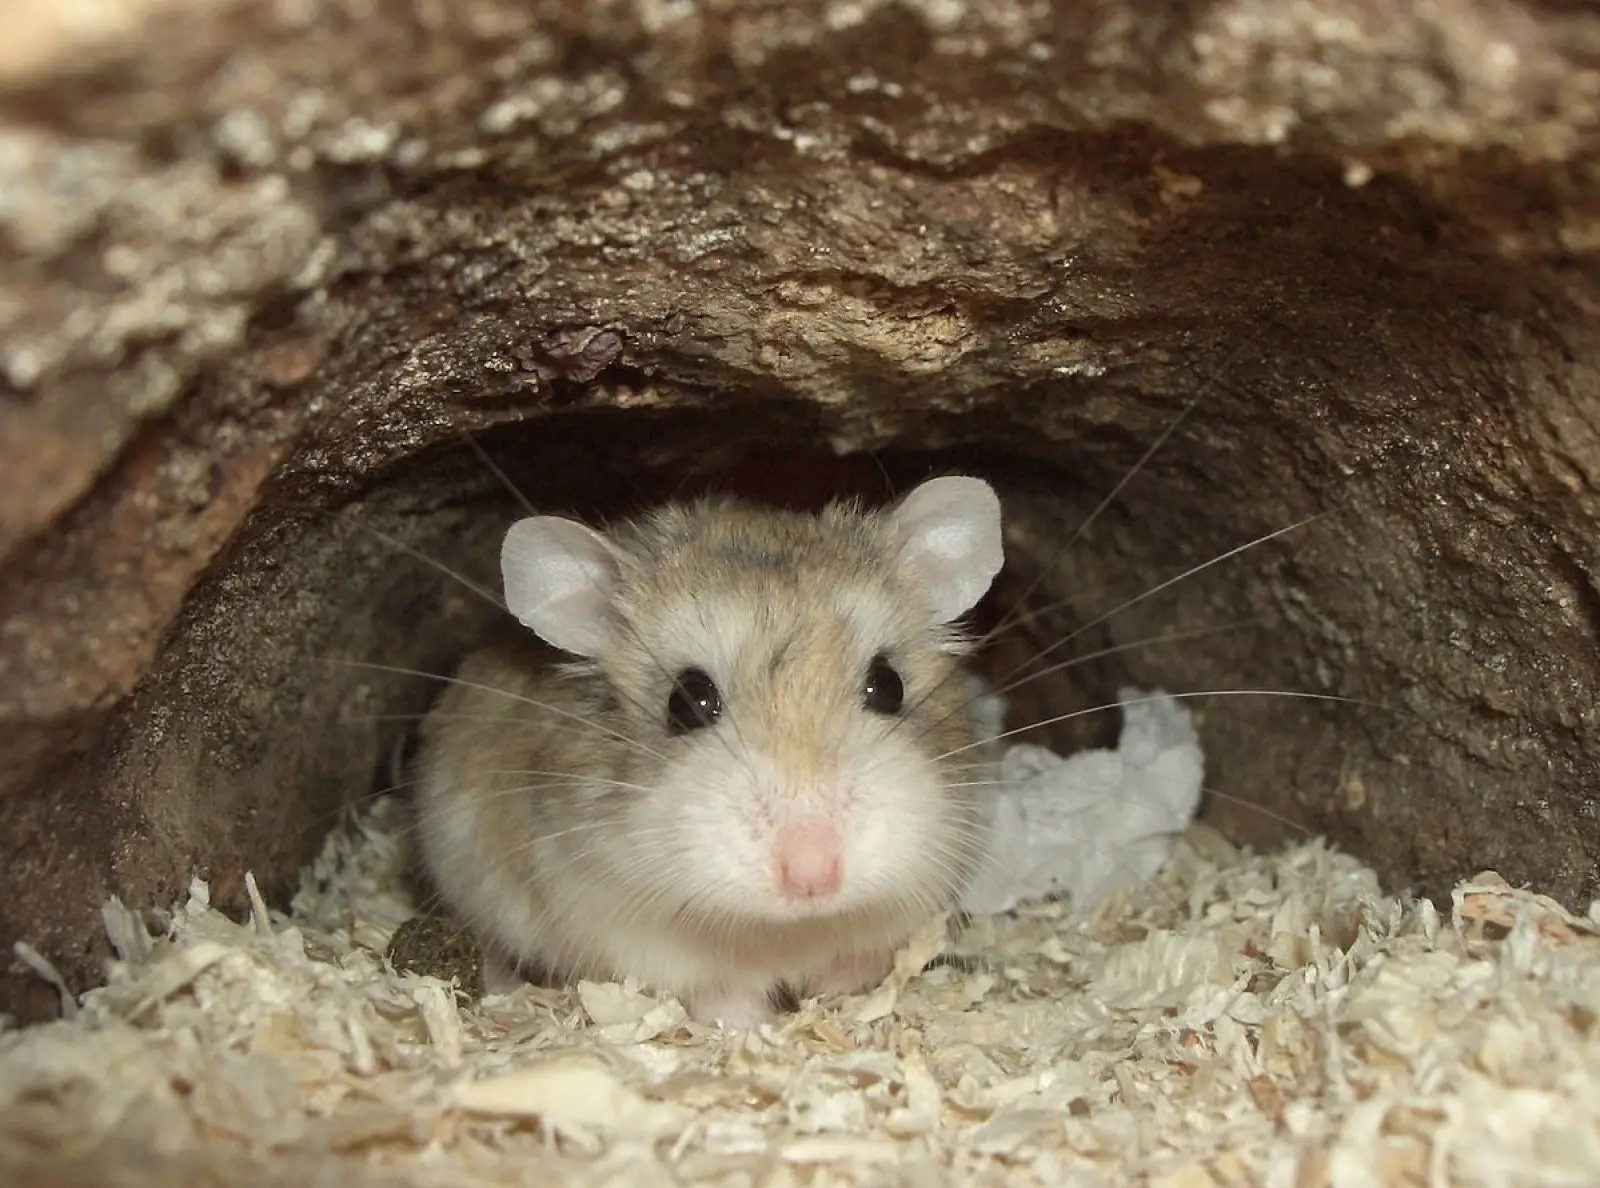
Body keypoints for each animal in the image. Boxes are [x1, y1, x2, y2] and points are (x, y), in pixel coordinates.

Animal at [410, 474, 1005, 1029]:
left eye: (889, 686)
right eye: (686, 702)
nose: (812, 876)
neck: (787, 930)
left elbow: (857, 962)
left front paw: (840, 997)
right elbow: (718, 992)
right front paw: (756, 1026)